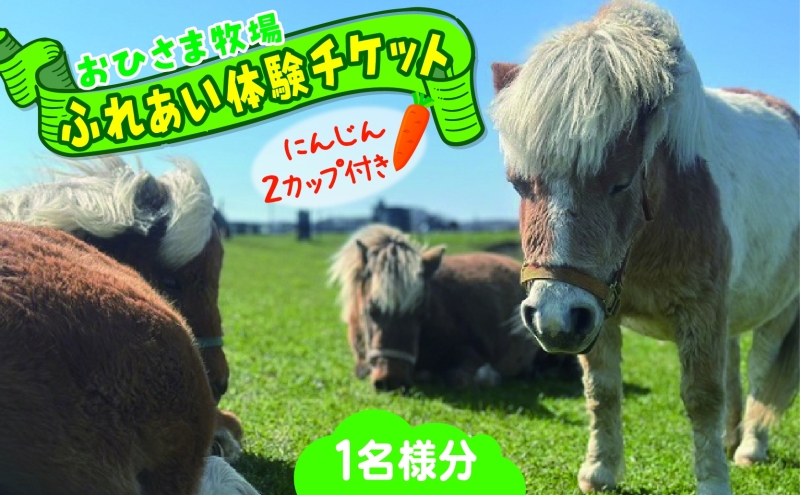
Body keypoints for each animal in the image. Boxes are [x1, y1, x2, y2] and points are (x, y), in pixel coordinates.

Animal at [490, 1, 799, 494]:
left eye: (620, 182)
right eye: (519, 184)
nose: (553, 318)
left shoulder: (700, 310)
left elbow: (702, 396)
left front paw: (713, 481)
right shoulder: (595, 308)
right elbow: (603, 391)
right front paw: (600, 470)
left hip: (780, 309)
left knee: (759, 368)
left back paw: (750, 446)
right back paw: (730, 438)